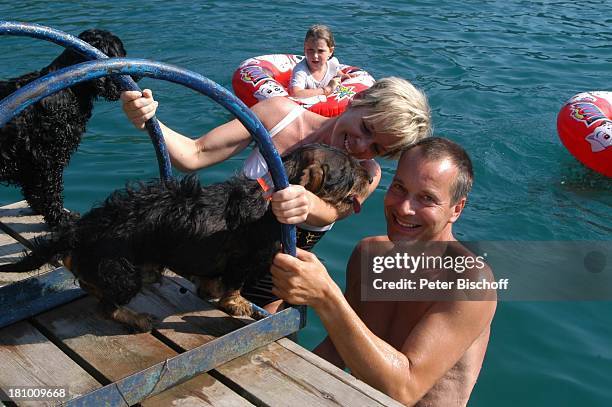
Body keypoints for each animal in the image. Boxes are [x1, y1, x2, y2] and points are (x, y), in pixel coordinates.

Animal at [0, 28, 128, 226]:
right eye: (120, 51)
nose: (137, 75)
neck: (69, 91)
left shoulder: (31, 162)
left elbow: (34, 192)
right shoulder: (48, 158)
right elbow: (51, 191)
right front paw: (60, 218)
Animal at [0, 145, 370, 334]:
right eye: (349, 172)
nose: (371, 174)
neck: (267, 199)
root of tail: (83, 228)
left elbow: (210, 279)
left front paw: (210, 289)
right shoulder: (243, 261)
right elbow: (233, 286)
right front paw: (235, 303)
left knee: (83, 274)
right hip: (124, 272)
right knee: (106, 305)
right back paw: (136, 319)